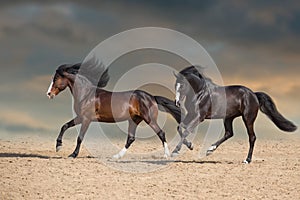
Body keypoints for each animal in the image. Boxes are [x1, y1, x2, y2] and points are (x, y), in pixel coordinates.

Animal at [46, 60, 190, 159]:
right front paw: (58, 146)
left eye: (56, 78)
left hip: (149, 119)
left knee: (161, 133)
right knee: (131, 138)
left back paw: (166, 155)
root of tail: (152, 97)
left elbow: (80, 138)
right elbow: (64, 126)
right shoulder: (80, 117)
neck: (86, 94)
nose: (49, 94)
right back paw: (117, 156)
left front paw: (73, 154)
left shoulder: (86, 119)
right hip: (134, 120)